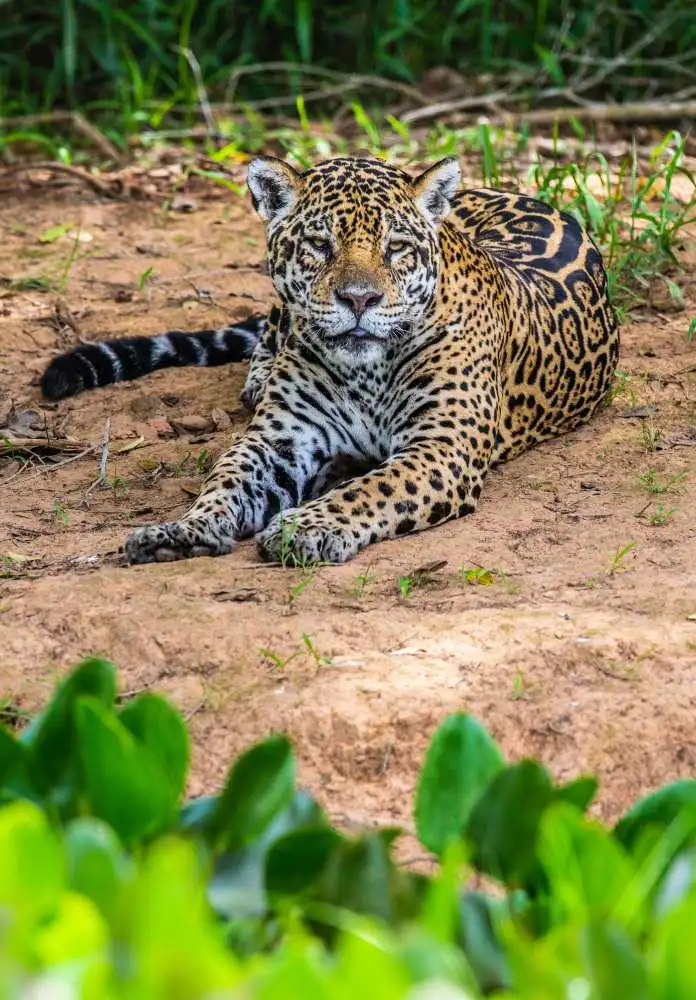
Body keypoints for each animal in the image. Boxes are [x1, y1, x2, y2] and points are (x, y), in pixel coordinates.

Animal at [40, 154, 619, 566]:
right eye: (319, 244)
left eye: (396, 247)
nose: (359, 299)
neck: (367, 372)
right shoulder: (280, 439)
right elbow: (225, 478)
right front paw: (184, 528)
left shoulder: (441, 446)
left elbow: (377, 487)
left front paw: (308, 527)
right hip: (278, 317)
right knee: (265, 336)